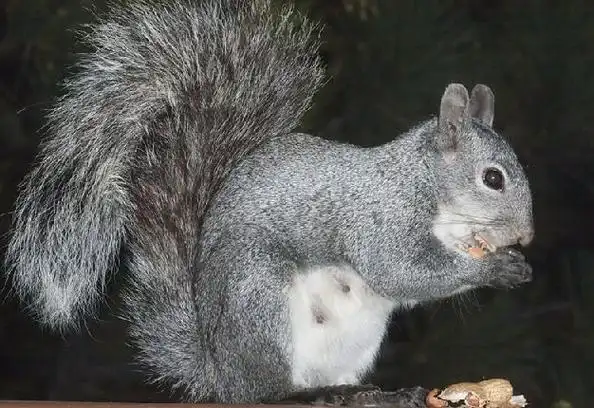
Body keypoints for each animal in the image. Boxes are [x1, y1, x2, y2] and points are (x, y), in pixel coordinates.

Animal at [4, 0, 532, 404]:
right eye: (493, 178)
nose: (526, 235)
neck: (429, 192)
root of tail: (222, 374)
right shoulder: (379, 216)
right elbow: (399, 269)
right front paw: (497, 269)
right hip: (259, 300)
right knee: (269, 391)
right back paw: (305, 393)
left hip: (357, 337)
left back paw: (372, 392)